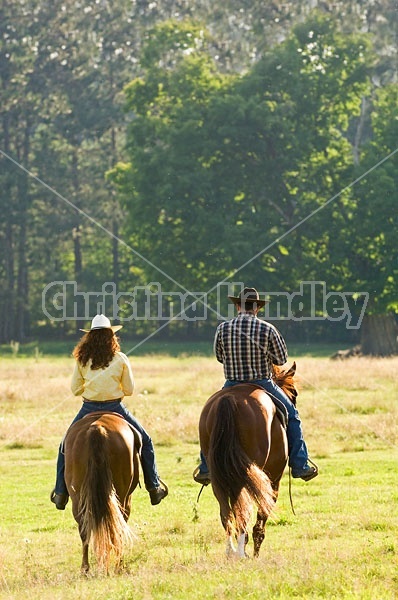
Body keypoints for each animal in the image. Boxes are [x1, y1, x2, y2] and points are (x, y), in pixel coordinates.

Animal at [63, 412, 141, 572]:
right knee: (116, 527)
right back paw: (118, 565)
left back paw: (86, 569)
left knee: (85, 529)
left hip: (78, 499)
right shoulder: (128, 499)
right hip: (121, 496)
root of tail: (97, 428)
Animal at [198, 360, 296, 556]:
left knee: (226, 509)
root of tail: (229, 399)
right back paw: (241, 551)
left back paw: (231, 551)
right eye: (294, 394)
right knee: (242, 507)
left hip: (219, 473)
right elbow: (263, 510)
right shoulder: (273, 478)